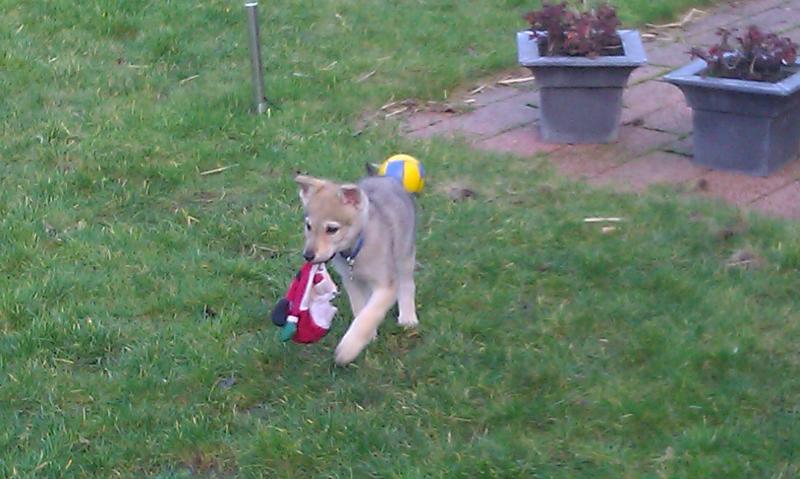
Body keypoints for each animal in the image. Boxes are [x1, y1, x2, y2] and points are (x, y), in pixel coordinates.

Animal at [294, 174, 418, 366]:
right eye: (308, 226)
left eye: (332, 229)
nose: (308, 255)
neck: (355, 252)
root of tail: (383, 177)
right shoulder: (351, 281)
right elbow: (361, 309)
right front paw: (368, 337)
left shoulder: (386, 284)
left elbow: (369, 314)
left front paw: (349, 348)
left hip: (404, 255)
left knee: (407, 285)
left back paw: (408, 318)